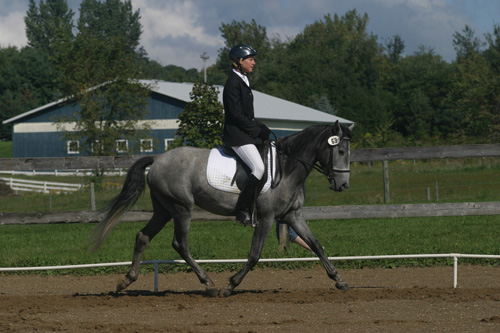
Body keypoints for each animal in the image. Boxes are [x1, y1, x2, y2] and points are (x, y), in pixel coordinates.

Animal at [92, 120, 354, 296]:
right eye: (340, 151)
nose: (343, 185)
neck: (287, 167)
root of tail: (157, 159)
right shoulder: (267, 218)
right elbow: (254, 255)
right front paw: (230, 285)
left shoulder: (292, 216)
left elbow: (317, 245)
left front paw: (339, 280)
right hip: (181, 208)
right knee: (180, 244)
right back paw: (208, 283)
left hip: (164, 210)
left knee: (143, 237)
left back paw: (126, 281)